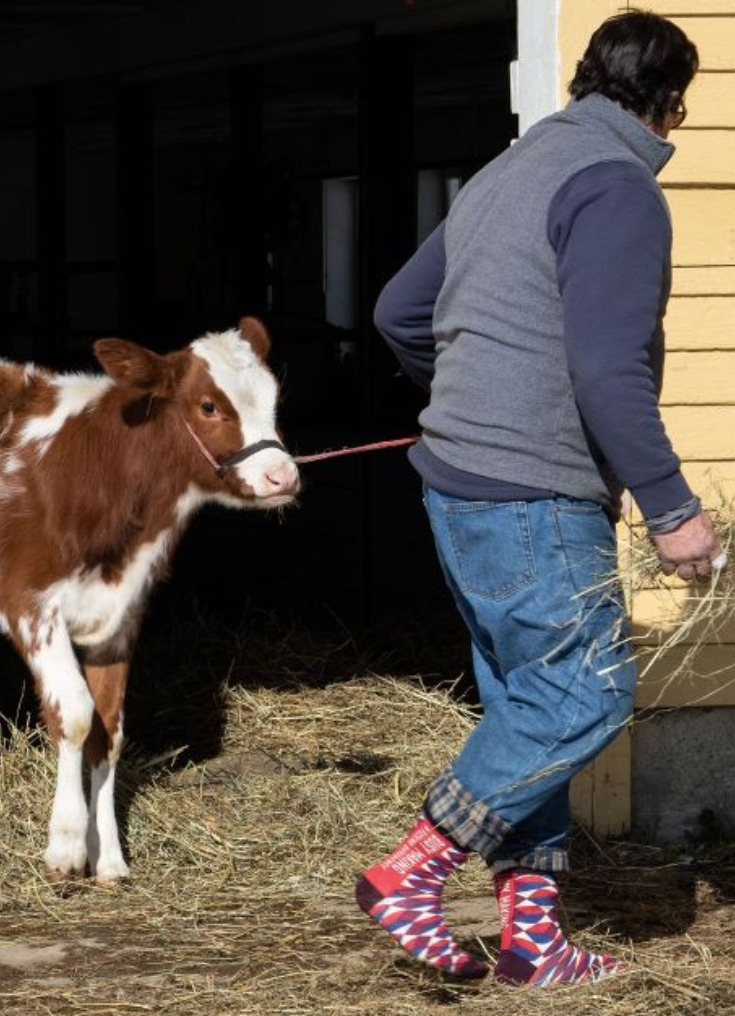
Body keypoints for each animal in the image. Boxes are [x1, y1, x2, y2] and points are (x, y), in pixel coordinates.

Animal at [0, 316, 300, 881]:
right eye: (208, 406)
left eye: (274, 398)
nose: (282, 476)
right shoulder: (30, 604)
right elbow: (75, 714)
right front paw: (66, 846)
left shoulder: (119, 619)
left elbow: (109, 731)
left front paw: (109, 857)